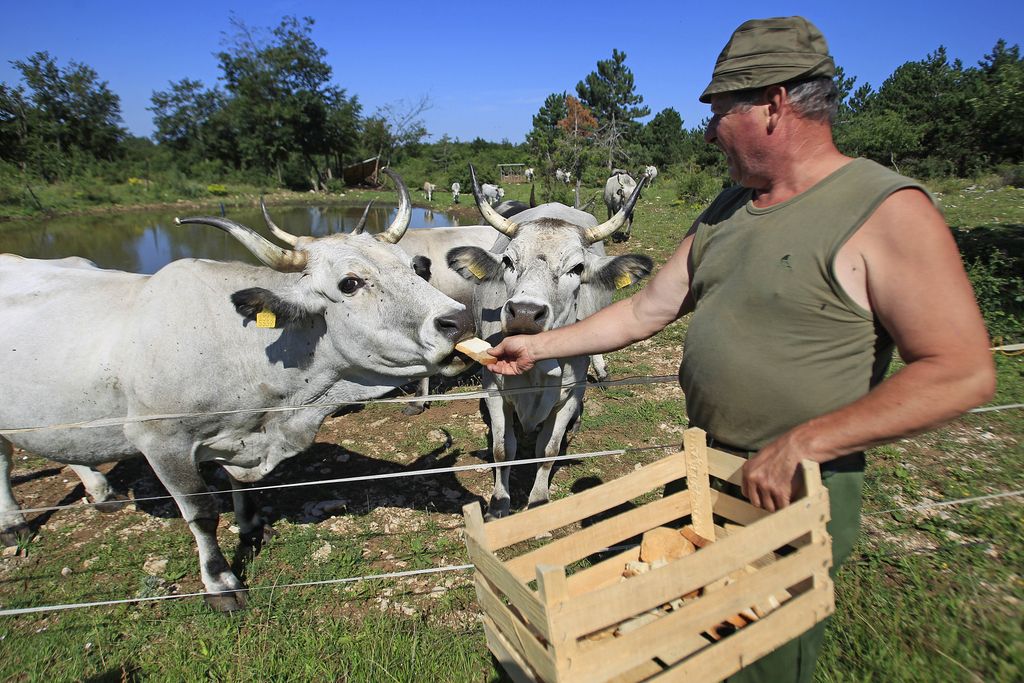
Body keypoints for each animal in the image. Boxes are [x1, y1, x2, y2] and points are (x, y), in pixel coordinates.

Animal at [0, 169, 471, 610]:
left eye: (413, 267)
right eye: (350, 283)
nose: (458, 321)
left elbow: (238, 487)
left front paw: (250, 525)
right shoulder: (161, 442)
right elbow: (201, 512)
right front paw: (221, 582)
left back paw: (86, 497)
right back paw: (19, 521)